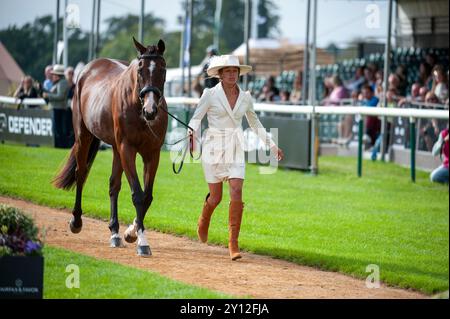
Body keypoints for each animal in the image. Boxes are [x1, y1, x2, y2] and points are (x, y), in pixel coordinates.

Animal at [53, 37, 169, 258]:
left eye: (163, 69)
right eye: (140, 69)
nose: (151, 110)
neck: (138, 108)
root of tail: (89, 68)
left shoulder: (152, 153)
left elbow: (146, 196)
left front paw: (131, 232)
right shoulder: (127, 148)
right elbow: (137, 195)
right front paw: (142, 242)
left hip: (115, 148)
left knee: (114, 185)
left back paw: (114, 232)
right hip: (84, 136)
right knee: (81, 173)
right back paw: (76, 221)